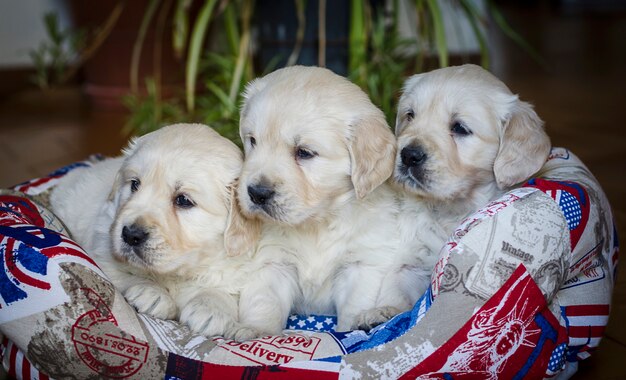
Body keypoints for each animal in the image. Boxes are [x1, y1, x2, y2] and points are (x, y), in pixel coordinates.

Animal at [50, 124, 258, 342]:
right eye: (134, 184)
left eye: (183, 200)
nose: (131, 235)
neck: (180, 272)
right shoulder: (103, 252)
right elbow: (121, 274)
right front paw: (152, 293)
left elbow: (224, 288)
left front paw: (210, 308)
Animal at [234, 66, 428, 336]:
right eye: (252, 141)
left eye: (304, 152)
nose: (256, 193)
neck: (319, 222)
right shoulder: (272, 261)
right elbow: (264, 301)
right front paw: (257, 330)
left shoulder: (361, 265)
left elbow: (355, 306)